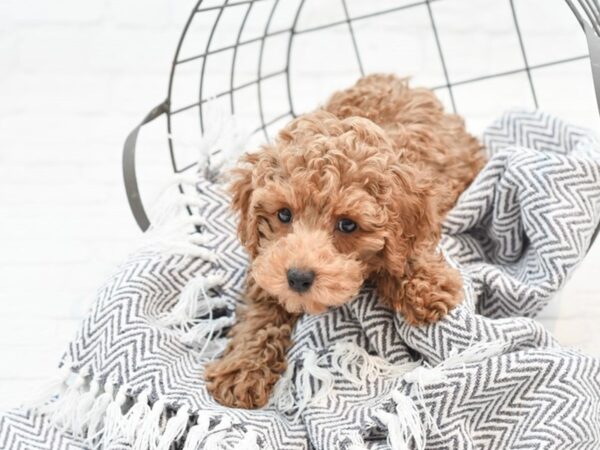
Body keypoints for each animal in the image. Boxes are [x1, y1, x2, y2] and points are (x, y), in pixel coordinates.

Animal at [206, 73, 488, 408]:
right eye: (284, 214)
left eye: (348, 225)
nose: (298, 278)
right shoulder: (266, 262)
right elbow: (260, 314)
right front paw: (242, 369)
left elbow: (405, 254)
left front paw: (423, 287)